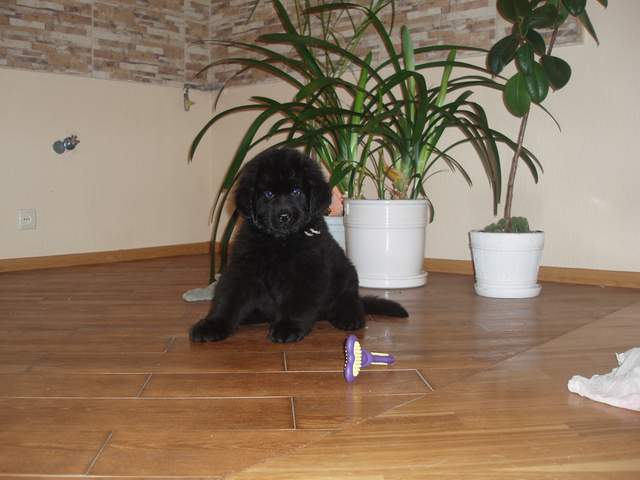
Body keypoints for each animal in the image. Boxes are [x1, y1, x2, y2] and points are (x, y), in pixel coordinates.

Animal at [189, 148, 408, 343]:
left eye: (296, 191)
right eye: (268, 194)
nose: (284, 216)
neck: (279, 241)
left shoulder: (307, 272)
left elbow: (297, 302)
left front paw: (288, 327)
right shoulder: (243, 268)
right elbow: (228, 299)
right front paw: (213, 325)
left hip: (346, 275)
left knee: (351, 301)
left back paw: (350, 318)